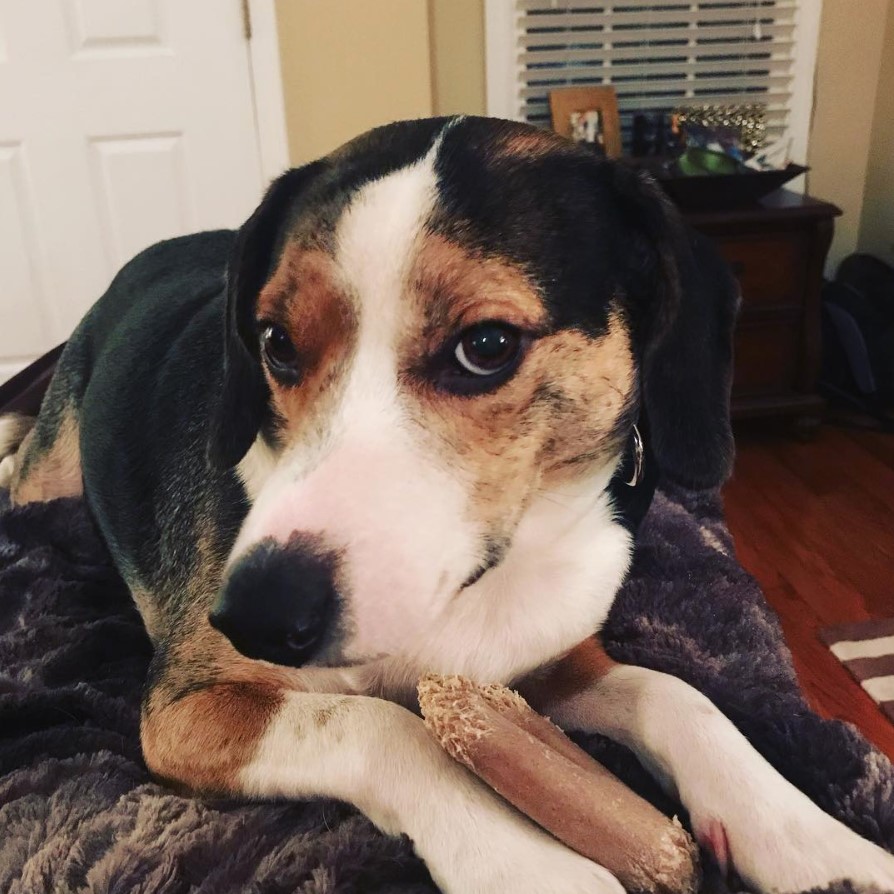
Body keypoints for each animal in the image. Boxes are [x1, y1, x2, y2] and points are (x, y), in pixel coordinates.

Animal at [1, 115, 894, 892]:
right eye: (275, 345)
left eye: (486, 346)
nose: (254, 616)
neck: (465, 595)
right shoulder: (184, 708)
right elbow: (386, 726)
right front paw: (531, 865)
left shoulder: (543, 663)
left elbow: (679, 697)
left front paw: (812, 842)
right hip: (52, 473)